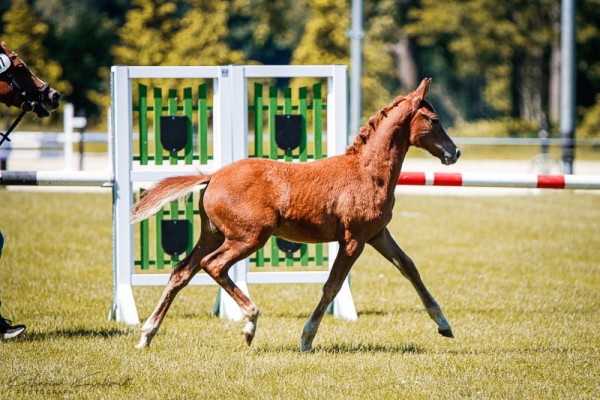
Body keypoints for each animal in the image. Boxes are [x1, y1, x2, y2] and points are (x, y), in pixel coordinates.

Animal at [131, 77, 460, 350]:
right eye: (434, 120)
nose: (454, 152)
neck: (368, 172)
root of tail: (212, 177)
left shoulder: (377, 234)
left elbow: (409, 267)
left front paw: (444, 325)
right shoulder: (353, 240)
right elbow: (332, 286)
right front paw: (306, 338)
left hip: (212, 235)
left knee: (182, 271)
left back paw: (147, 335)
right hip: (248, 238)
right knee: (213, 265)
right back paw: (250, 324)